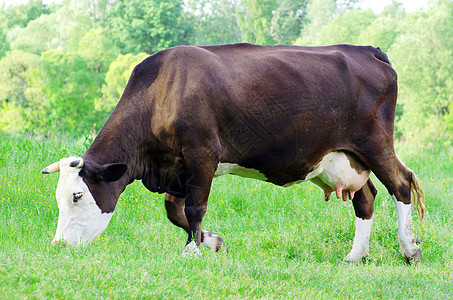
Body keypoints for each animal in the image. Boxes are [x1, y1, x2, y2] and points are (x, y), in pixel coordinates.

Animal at [41, 42, 424, 262]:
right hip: (344, 158)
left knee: (401, 185)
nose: (58, 245)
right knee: (366, 197)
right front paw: (211, 241)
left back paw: (409, 249)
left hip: (375, 144)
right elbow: (174, 211)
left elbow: (194, 208)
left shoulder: (202, 153)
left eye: (77, 195)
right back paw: (356, 255)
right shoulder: (177, 168)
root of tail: (366, 49)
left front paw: (192, 250)